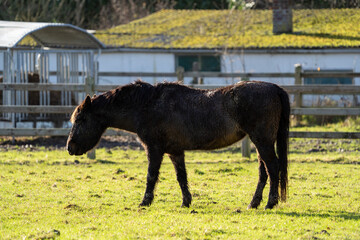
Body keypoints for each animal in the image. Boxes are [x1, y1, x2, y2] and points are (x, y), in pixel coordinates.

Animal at [67, 80, 290, 208]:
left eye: (81, 120)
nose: (70, 147)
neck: (147, 104)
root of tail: (274, 88)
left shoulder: (154, 149)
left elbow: (151, 176)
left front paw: (145, 202)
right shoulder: (175, 151)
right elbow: (181, 177)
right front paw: (186, 202)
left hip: (262, 141)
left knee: (273, 168)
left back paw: (270, 203)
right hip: (261, 143)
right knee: (264, 172)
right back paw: (254, 203)